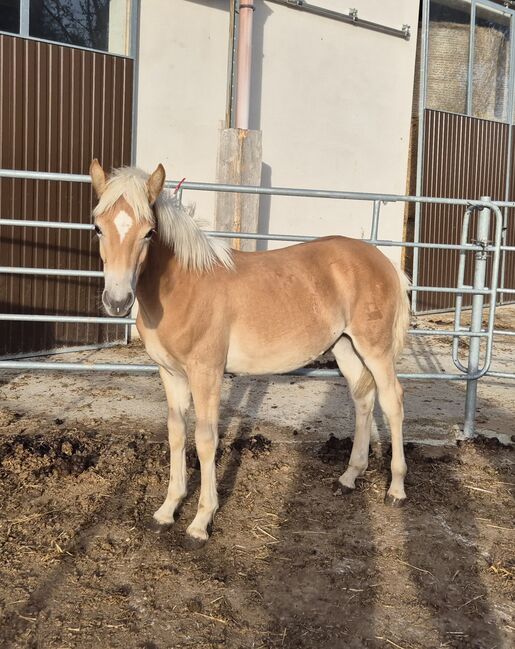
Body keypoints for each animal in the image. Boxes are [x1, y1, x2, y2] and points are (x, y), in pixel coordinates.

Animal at [88, 159, 412, 544]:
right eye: (97, 227)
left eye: (149, 232)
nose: (117, 301)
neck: (184, 287)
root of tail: (383, 261)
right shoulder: (171, 374)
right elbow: (177, 433)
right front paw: (167, 510)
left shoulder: (207, 373)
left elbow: (206, 439)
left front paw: (201, 522)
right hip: (345, 347)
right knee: (363, 398)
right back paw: (349, 477)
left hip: (375, 348)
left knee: (392, 401)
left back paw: (396, 489)